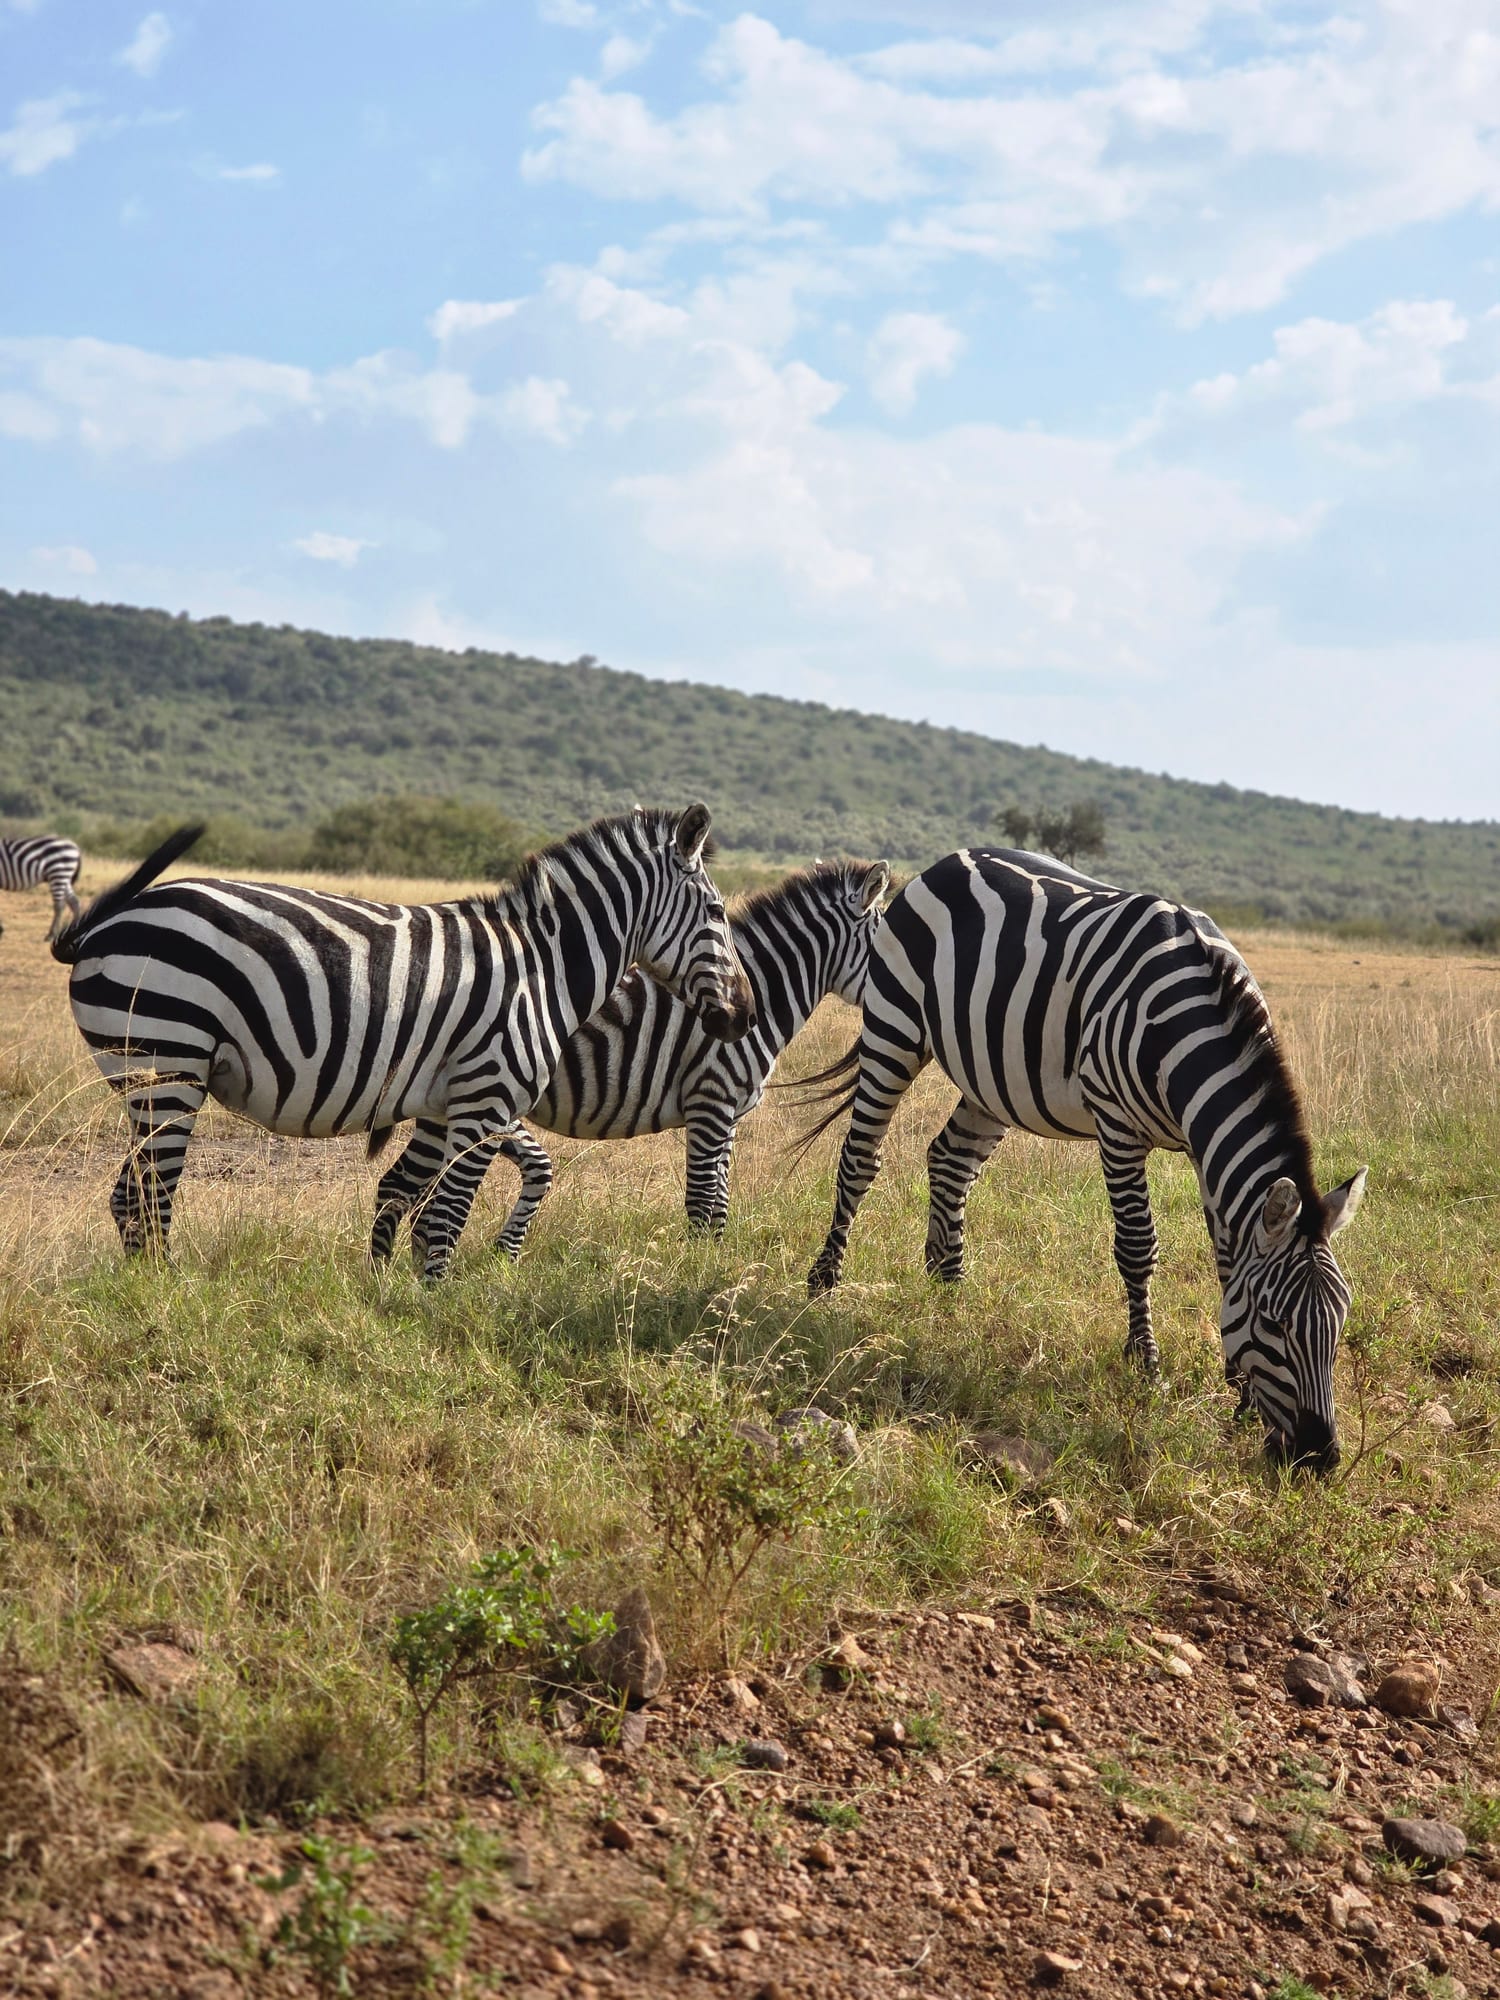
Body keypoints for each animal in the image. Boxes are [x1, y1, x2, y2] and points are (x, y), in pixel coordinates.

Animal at [54, 806, 753, 1279]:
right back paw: (168, 1296)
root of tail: (103, 927)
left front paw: (400, 1298)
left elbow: (416, 1209)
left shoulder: (445, 1106)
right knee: (148, 1196)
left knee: (130, 1197)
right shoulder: (486, 1103)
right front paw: (439, 1316)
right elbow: (446, 1219)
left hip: (154, 1074)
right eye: (719, 914)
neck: (544, 967)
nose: (743, 1018)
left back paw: (151, 1293)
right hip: (167, 1063)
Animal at [367, 857, 891, 1259]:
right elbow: (703, 1204)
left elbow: (721, 1205)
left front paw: (716, 1271)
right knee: (401, 1188)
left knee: (403, 1187)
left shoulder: (730, 1115)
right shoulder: (710, 1103)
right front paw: (696, 1276)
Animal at [802, 847, 1366, 1473]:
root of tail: (950, 859)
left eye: (1340, 1323)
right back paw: (824, 1282)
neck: (1193, 1026)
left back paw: (948, 1287)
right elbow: (1138, 1247)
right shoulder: (1117, 1126)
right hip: (894, 1030)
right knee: (859, 1157)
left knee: (950, 1160)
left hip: (990, 1077)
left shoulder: (1209, 1155)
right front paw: (1146, 1365)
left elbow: (1229, 1261)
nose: (1320, 1457)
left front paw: (1239, 1394)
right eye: (1273, 1322)